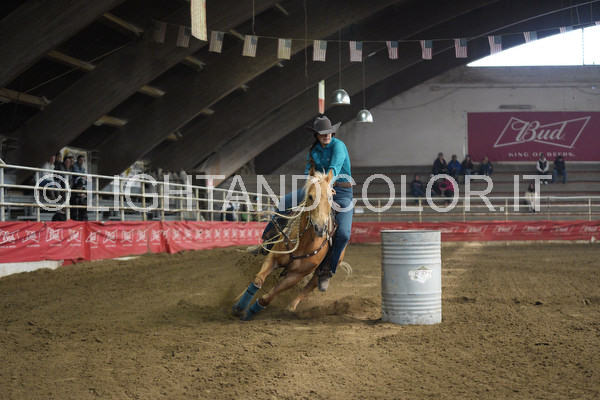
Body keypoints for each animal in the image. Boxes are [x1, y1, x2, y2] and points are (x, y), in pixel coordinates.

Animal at [232, 168, 348, 320]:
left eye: (330, 198)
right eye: (310, 196)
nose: (320, 228)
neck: (304, 244)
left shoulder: (295, 276)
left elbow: (267, 298)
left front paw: (248, 312)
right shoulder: (273, 258)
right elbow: (258, 280)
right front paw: (239, 306)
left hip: (320, 272)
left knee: (308, 288)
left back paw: (291, 308)